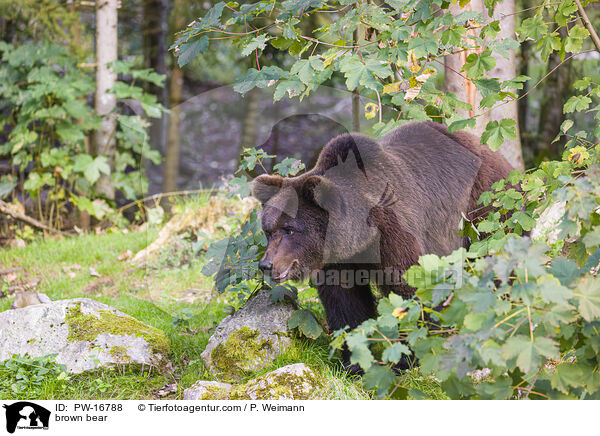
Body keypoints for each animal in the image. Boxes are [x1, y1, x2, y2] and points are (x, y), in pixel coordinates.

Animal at [251, 120, 512, 372]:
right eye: (269, 230)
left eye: (290, 229)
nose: (266, 264)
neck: (359, 237)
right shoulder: (337, 259)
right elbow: (346, 303)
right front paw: (352, 363)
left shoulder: (393, 233)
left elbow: (409, 288)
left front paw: (405, 361)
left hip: (485, 207)